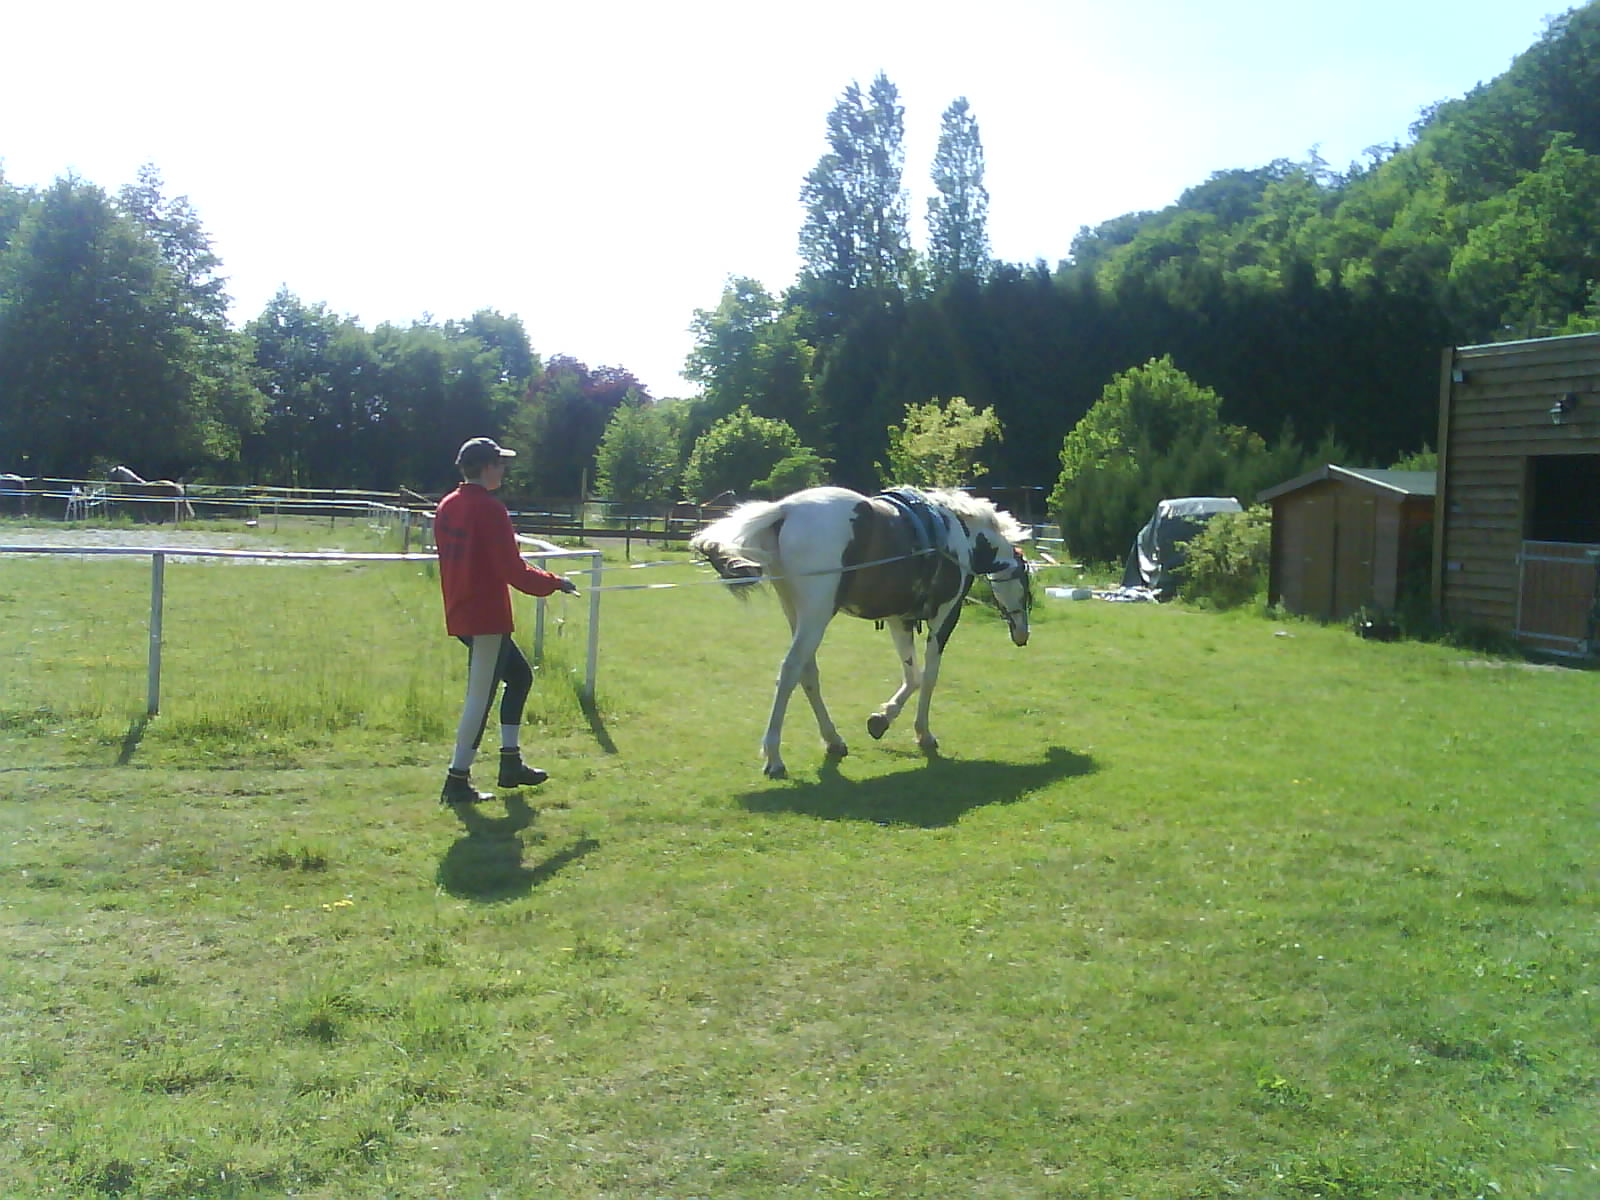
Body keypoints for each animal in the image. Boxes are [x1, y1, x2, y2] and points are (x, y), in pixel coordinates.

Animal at [694, 486, 1030, 780]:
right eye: (1026, 585)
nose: (1022, 634)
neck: (958, 534)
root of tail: (785, 509)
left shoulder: (899, 620)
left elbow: (913, 675)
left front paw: (881, 719)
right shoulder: (945, 616)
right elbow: (929, 677)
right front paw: (923, 734)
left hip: (798, 614)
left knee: (807, 673)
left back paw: (833, 740)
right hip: (816, 616)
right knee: (790, 672)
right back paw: (774, 758)